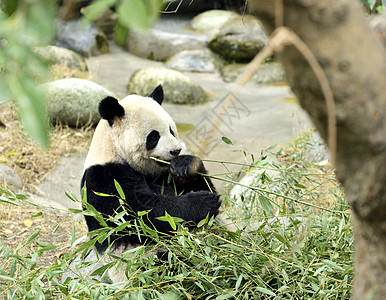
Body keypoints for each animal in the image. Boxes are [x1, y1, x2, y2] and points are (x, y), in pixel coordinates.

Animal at [81, 84, 220, 284]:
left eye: (171, 130)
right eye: (153, 136)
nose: (176, 150)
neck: (113, 150)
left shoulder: (164, 174)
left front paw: (186, 165)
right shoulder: (104, 179)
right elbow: (142, 214)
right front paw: (204, 202)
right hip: (146, 263)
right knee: (173, 265)